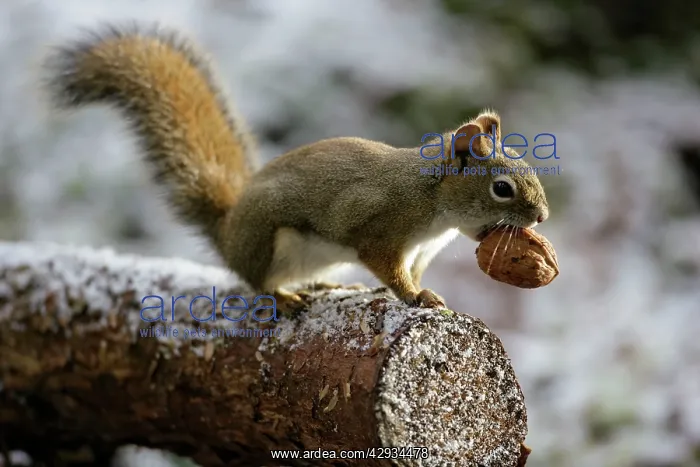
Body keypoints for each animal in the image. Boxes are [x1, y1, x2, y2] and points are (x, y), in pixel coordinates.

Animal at [45, 24, 549, 312]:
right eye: (502, 188)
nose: (542, 217)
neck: (432, 200)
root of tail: (228, 232)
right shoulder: (381, 228)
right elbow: (389, 269)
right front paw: (413, 296)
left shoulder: (422, 251)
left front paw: (416, 290)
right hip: (268, 241)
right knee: (255, 281)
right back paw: (284, 297)